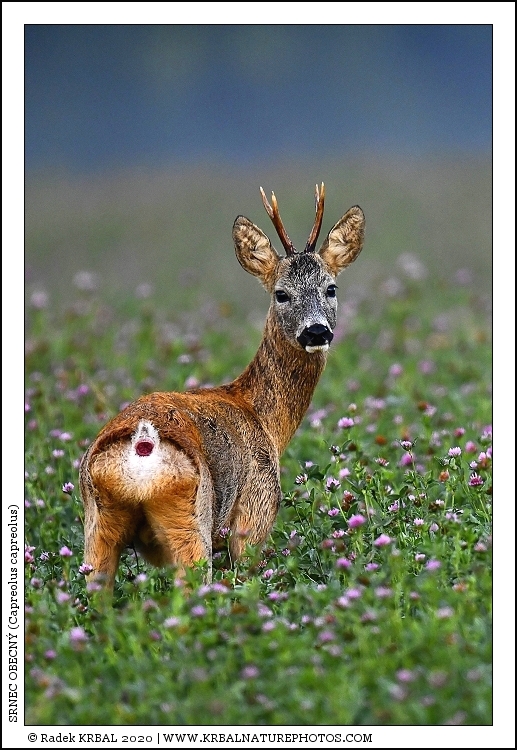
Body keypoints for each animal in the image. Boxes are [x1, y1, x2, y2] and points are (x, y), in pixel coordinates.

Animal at [79, 184, 365, 591]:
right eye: (281, 293)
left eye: (331, 288)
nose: (316, 331)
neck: (262, 418)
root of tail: (142, 442)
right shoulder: (256, 508)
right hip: (192, 518)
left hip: (97, 522)